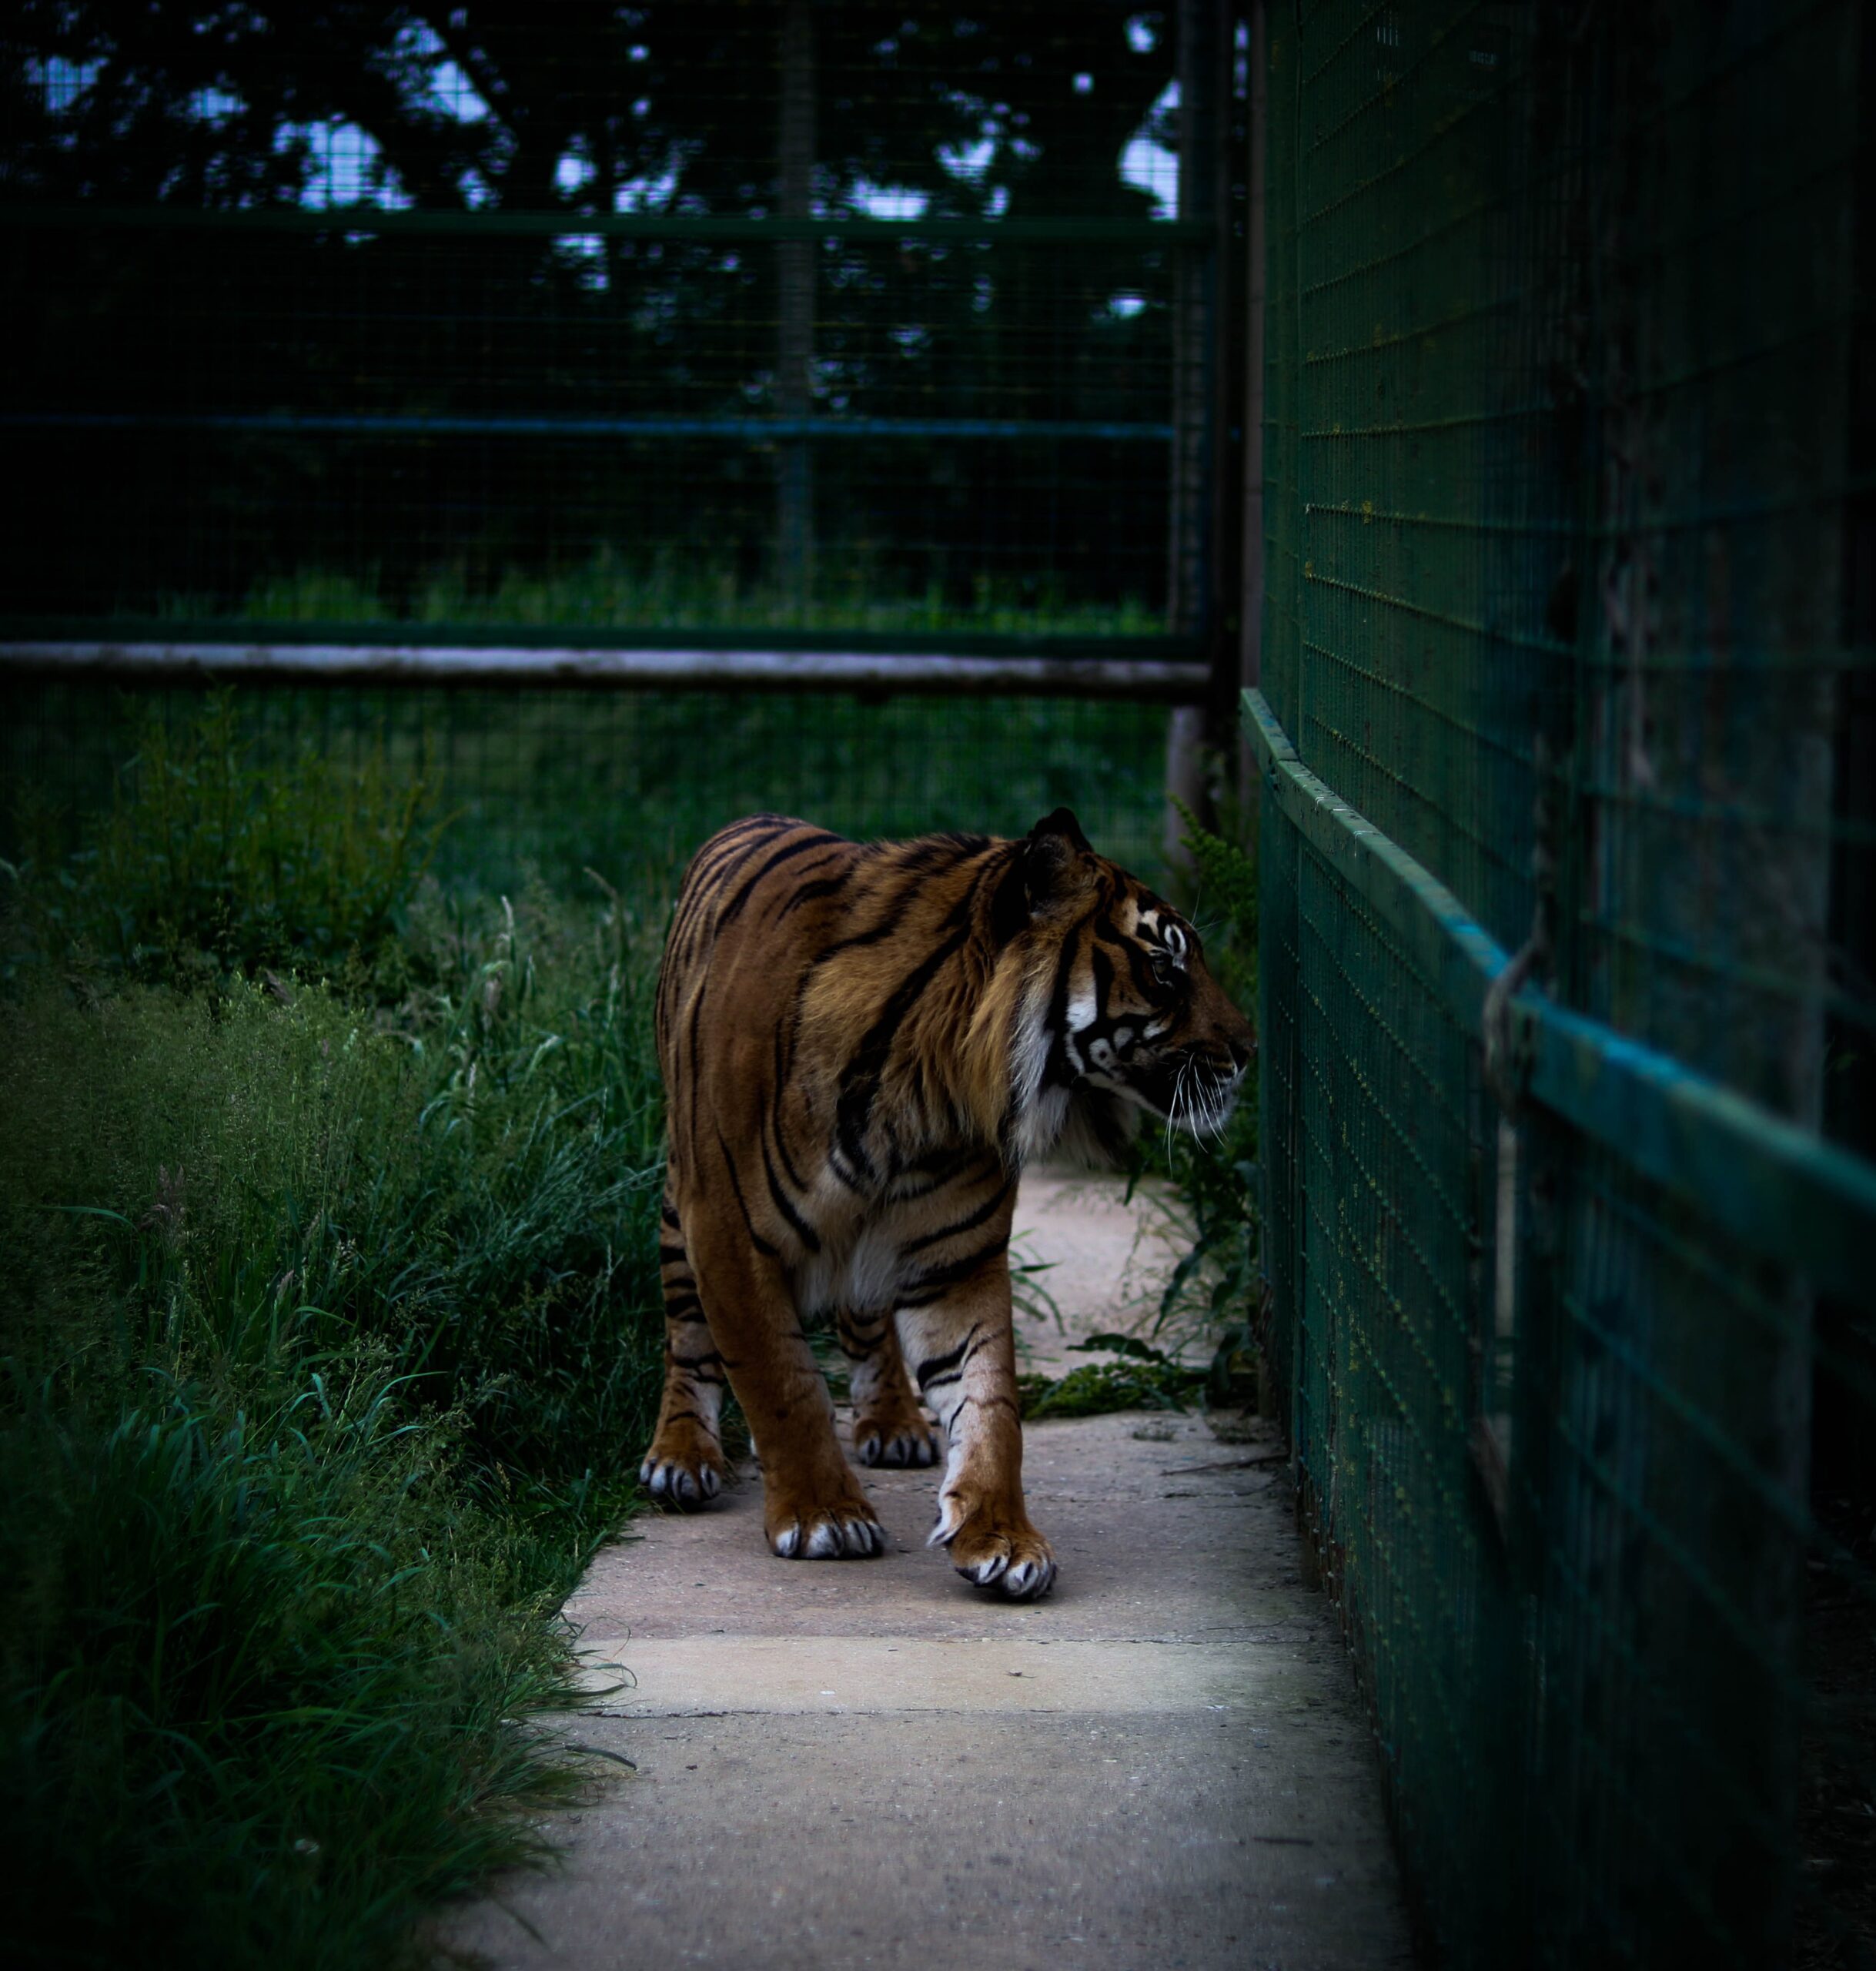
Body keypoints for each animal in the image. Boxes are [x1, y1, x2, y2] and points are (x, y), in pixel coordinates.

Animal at [640, 807, 1255, 1600]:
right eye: (1164, 968)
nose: (1248, 1051)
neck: (924, 1096)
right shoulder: (729, 1238)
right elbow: (782, 1383)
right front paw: (823, 1515)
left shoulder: (955, 1259)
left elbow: (990, 1405)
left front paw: (1002, 1538)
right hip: (677, 1204)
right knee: (686, 1338)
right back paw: (682, 1456)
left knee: (865, 1318)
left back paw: (895, 1424)